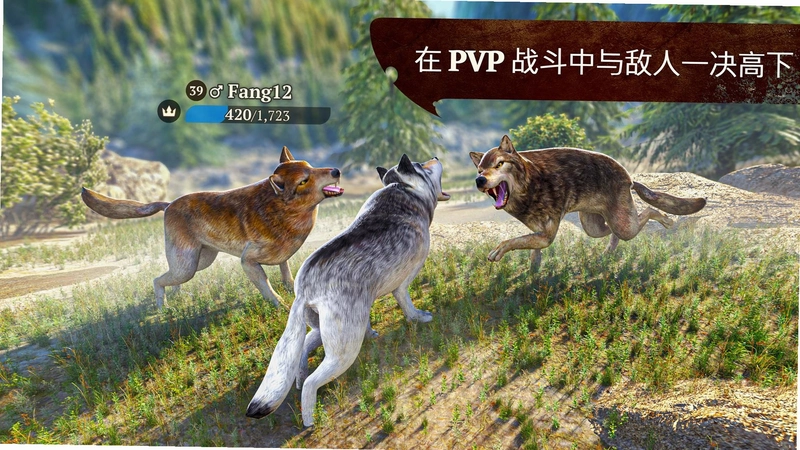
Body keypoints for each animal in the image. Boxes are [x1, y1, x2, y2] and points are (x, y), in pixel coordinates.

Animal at [81, 146, 343, 308]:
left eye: (312, 167)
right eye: (304, 181)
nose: (336, 170)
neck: (280, 209)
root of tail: (169, 205)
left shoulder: (281, 256)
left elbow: (286, 272)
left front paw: (291, 289)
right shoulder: (248, 262)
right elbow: (268, 288)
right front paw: (281, 305)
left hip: (200, 261)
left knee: (170, 279)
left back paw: (175, 297)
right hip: (186, 266)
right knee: (157, 280)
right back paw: (163, 308)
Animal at [245, 154, 450, 427]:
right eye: (422, 166)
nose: (435, 157)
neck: (404, 188)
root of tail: (304, 289)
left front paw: (372, 333)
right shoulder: (402, 285)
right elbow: (407, 305)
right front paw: (419, 318)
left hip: (327, 329)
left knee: (303, 348)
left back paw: (299, 378)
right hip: (344, 348)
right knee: (313, 382)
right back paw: (310, 419)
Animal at [470, 135, 706, 270]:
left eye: (499, 164)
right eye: (480, 170)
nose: (479, 180)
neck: (529, 184)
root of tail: (629, 177)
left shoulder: (547, 236)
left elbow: (513, 241)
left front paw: (498, 252)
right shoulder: (539, 233)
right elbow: (527, 242)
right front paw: (534, 264)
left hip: (623, 225)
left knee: (647, 211)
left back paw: (666, 220)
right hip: (593, 227)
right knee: (612, 232)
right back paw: (608, 253)